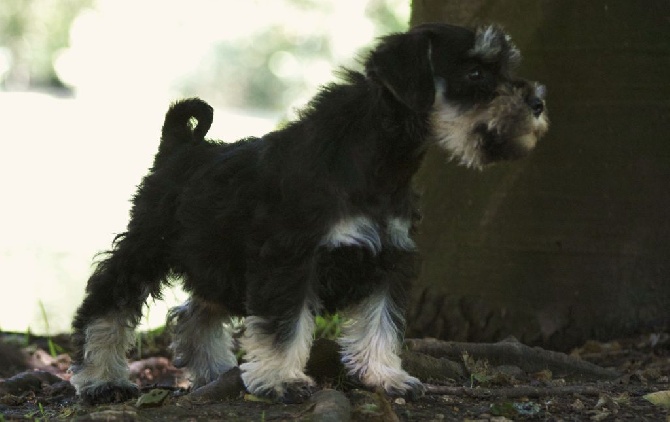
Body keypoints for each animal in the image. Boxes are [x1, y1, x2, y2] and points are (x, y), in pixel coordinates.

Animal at [68, 23, 552, 406]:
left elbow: (382, 324)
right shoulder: (291, 259)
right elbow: (285, 326)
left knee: (193, 314)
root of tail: (179, 148)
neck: (380, 163)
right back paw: (101, 380)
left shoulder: (388, 261)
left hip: (218, 261)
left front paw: (386, 376)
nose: (538, 104)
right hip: (148, 247)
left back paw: (214, 372)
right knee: (105, 304)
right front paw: (281, 380)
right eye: (475, 72)